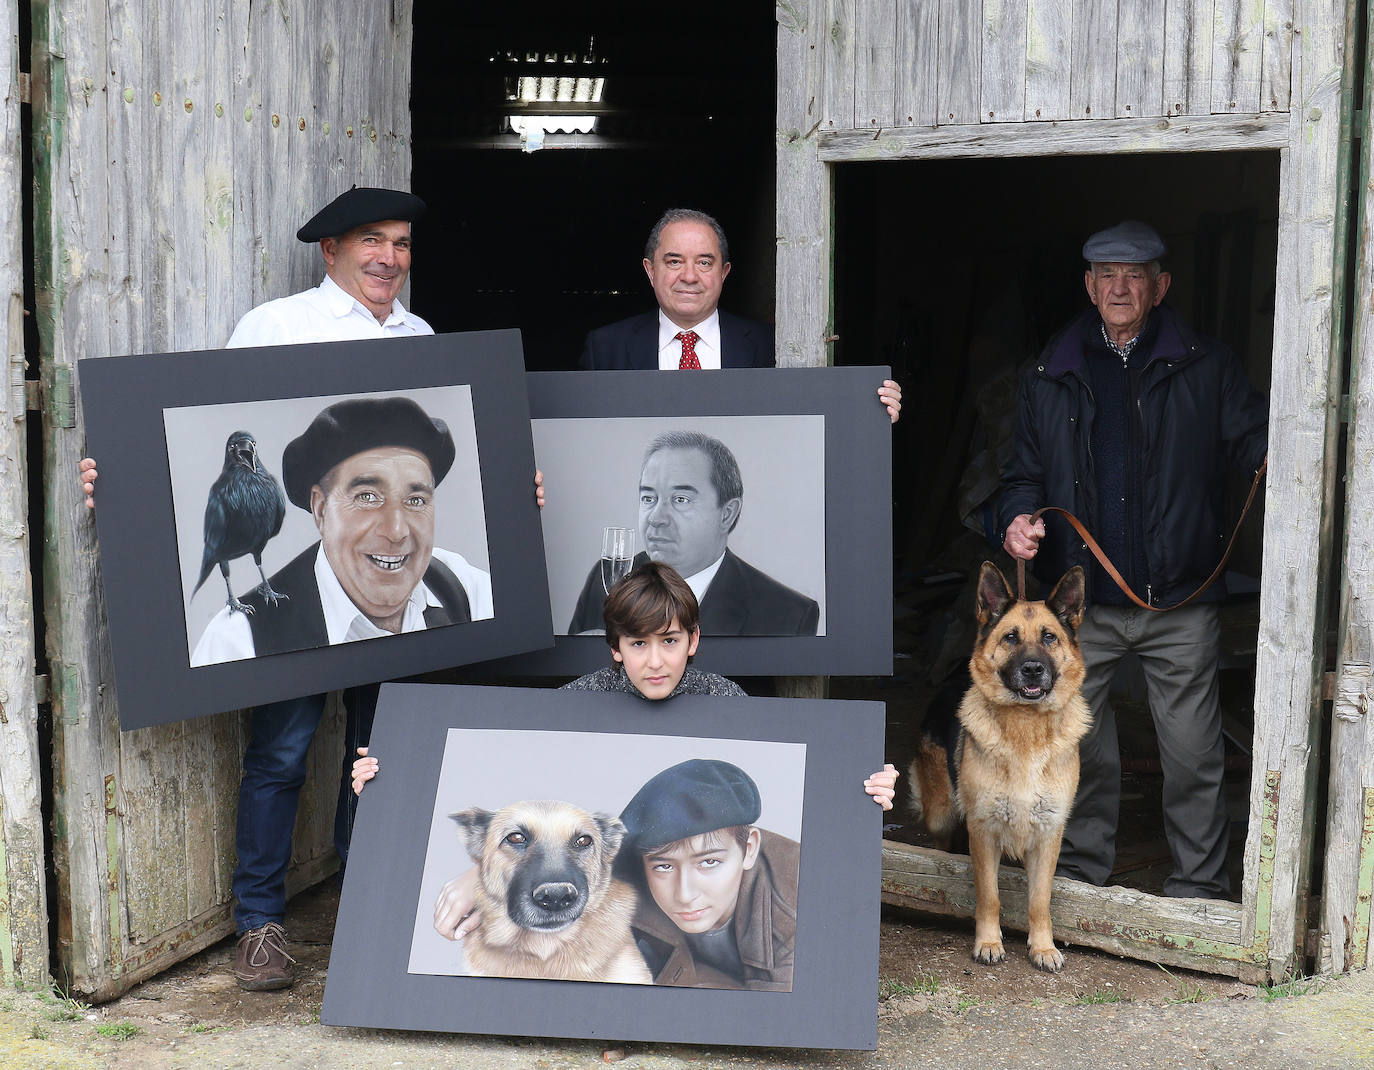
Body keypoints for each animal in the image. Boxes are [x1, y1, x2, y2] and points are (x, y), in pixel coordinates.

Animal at [906, 565, 1088, 972]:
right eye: (1010, 637)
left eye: (1049, 637)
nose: (1033, 669)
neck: (1026, 729)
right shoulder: (984, 830)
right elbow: (989, 895)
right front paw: (988, 943)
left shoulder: (1048, 834)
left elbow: (1040, 900)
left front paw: (1043, 947)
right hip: (942, 813)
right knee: (942, 843)